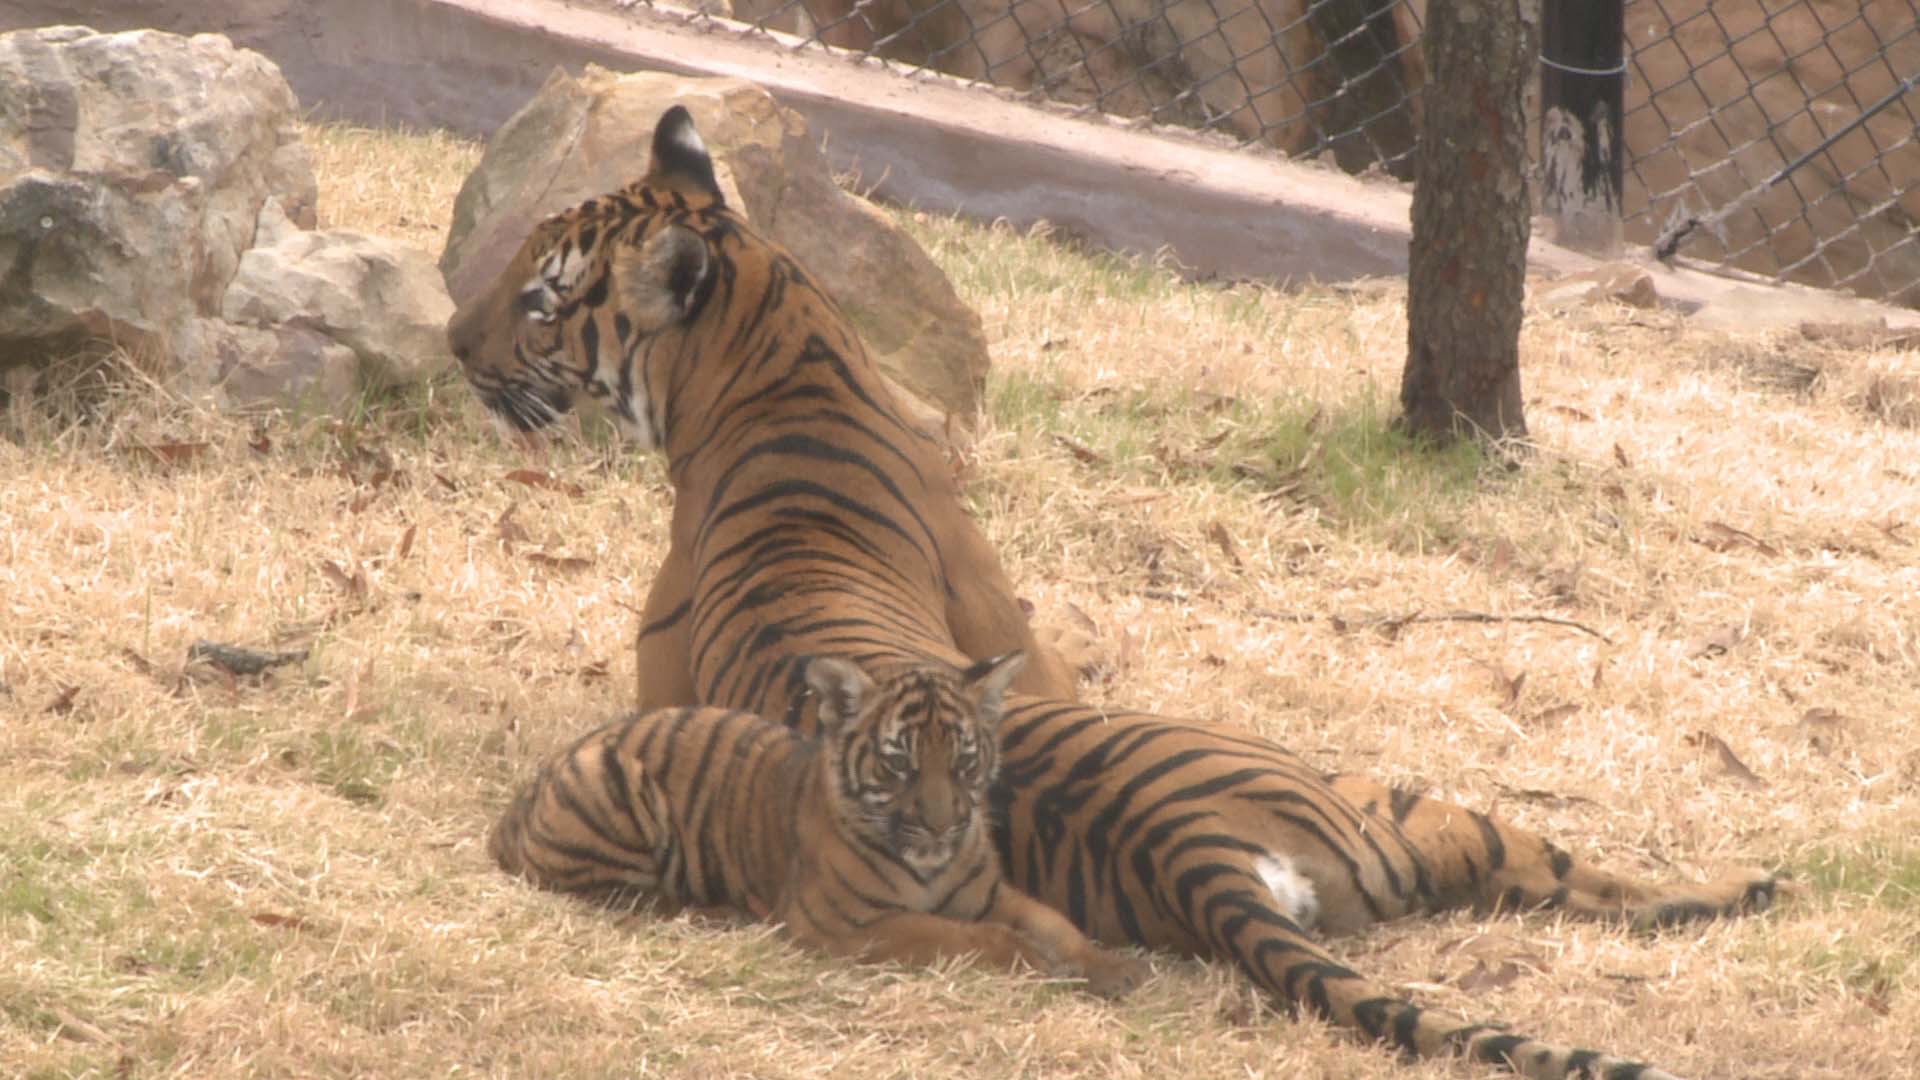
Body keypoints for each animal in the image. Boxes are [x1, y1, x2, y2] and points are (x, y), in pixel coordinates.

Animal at [445, 107, 1766, 1076]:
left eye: (540, 299)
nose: (458, 344)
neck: (777, 353)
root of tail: (1189, 851)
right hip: (1393, 800)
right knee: (1586, 875)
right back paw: (1748, 882)